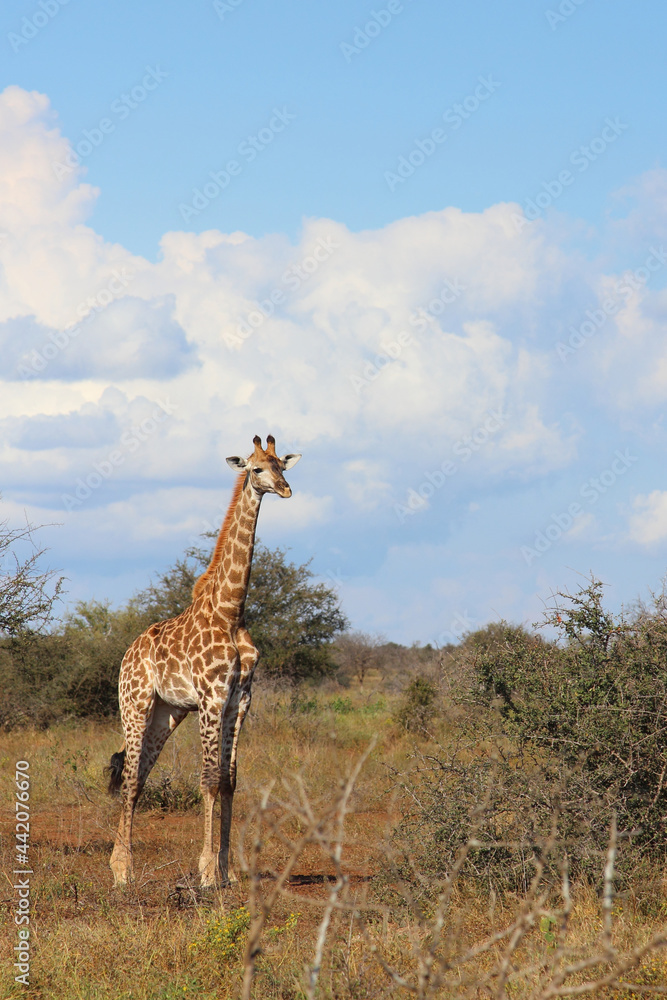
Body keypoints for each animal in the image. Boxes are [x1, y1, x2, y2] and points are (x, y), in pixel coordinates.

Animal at [107, 434, 301, 887]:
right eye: (255, 468)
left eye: (282, 465)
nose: (285, 490)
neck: (231, 611)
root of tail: (128, 653)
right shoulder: (212, 697)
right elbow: (210, 780)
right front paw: (207, 872)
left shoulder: (239, 700)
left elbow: (230, 780)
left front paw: (227, 871)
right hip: (135, 705)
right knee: (129, 779)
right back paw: (123, 871)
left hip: (167, 712)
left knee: (139, 775)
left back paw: (118, 862)